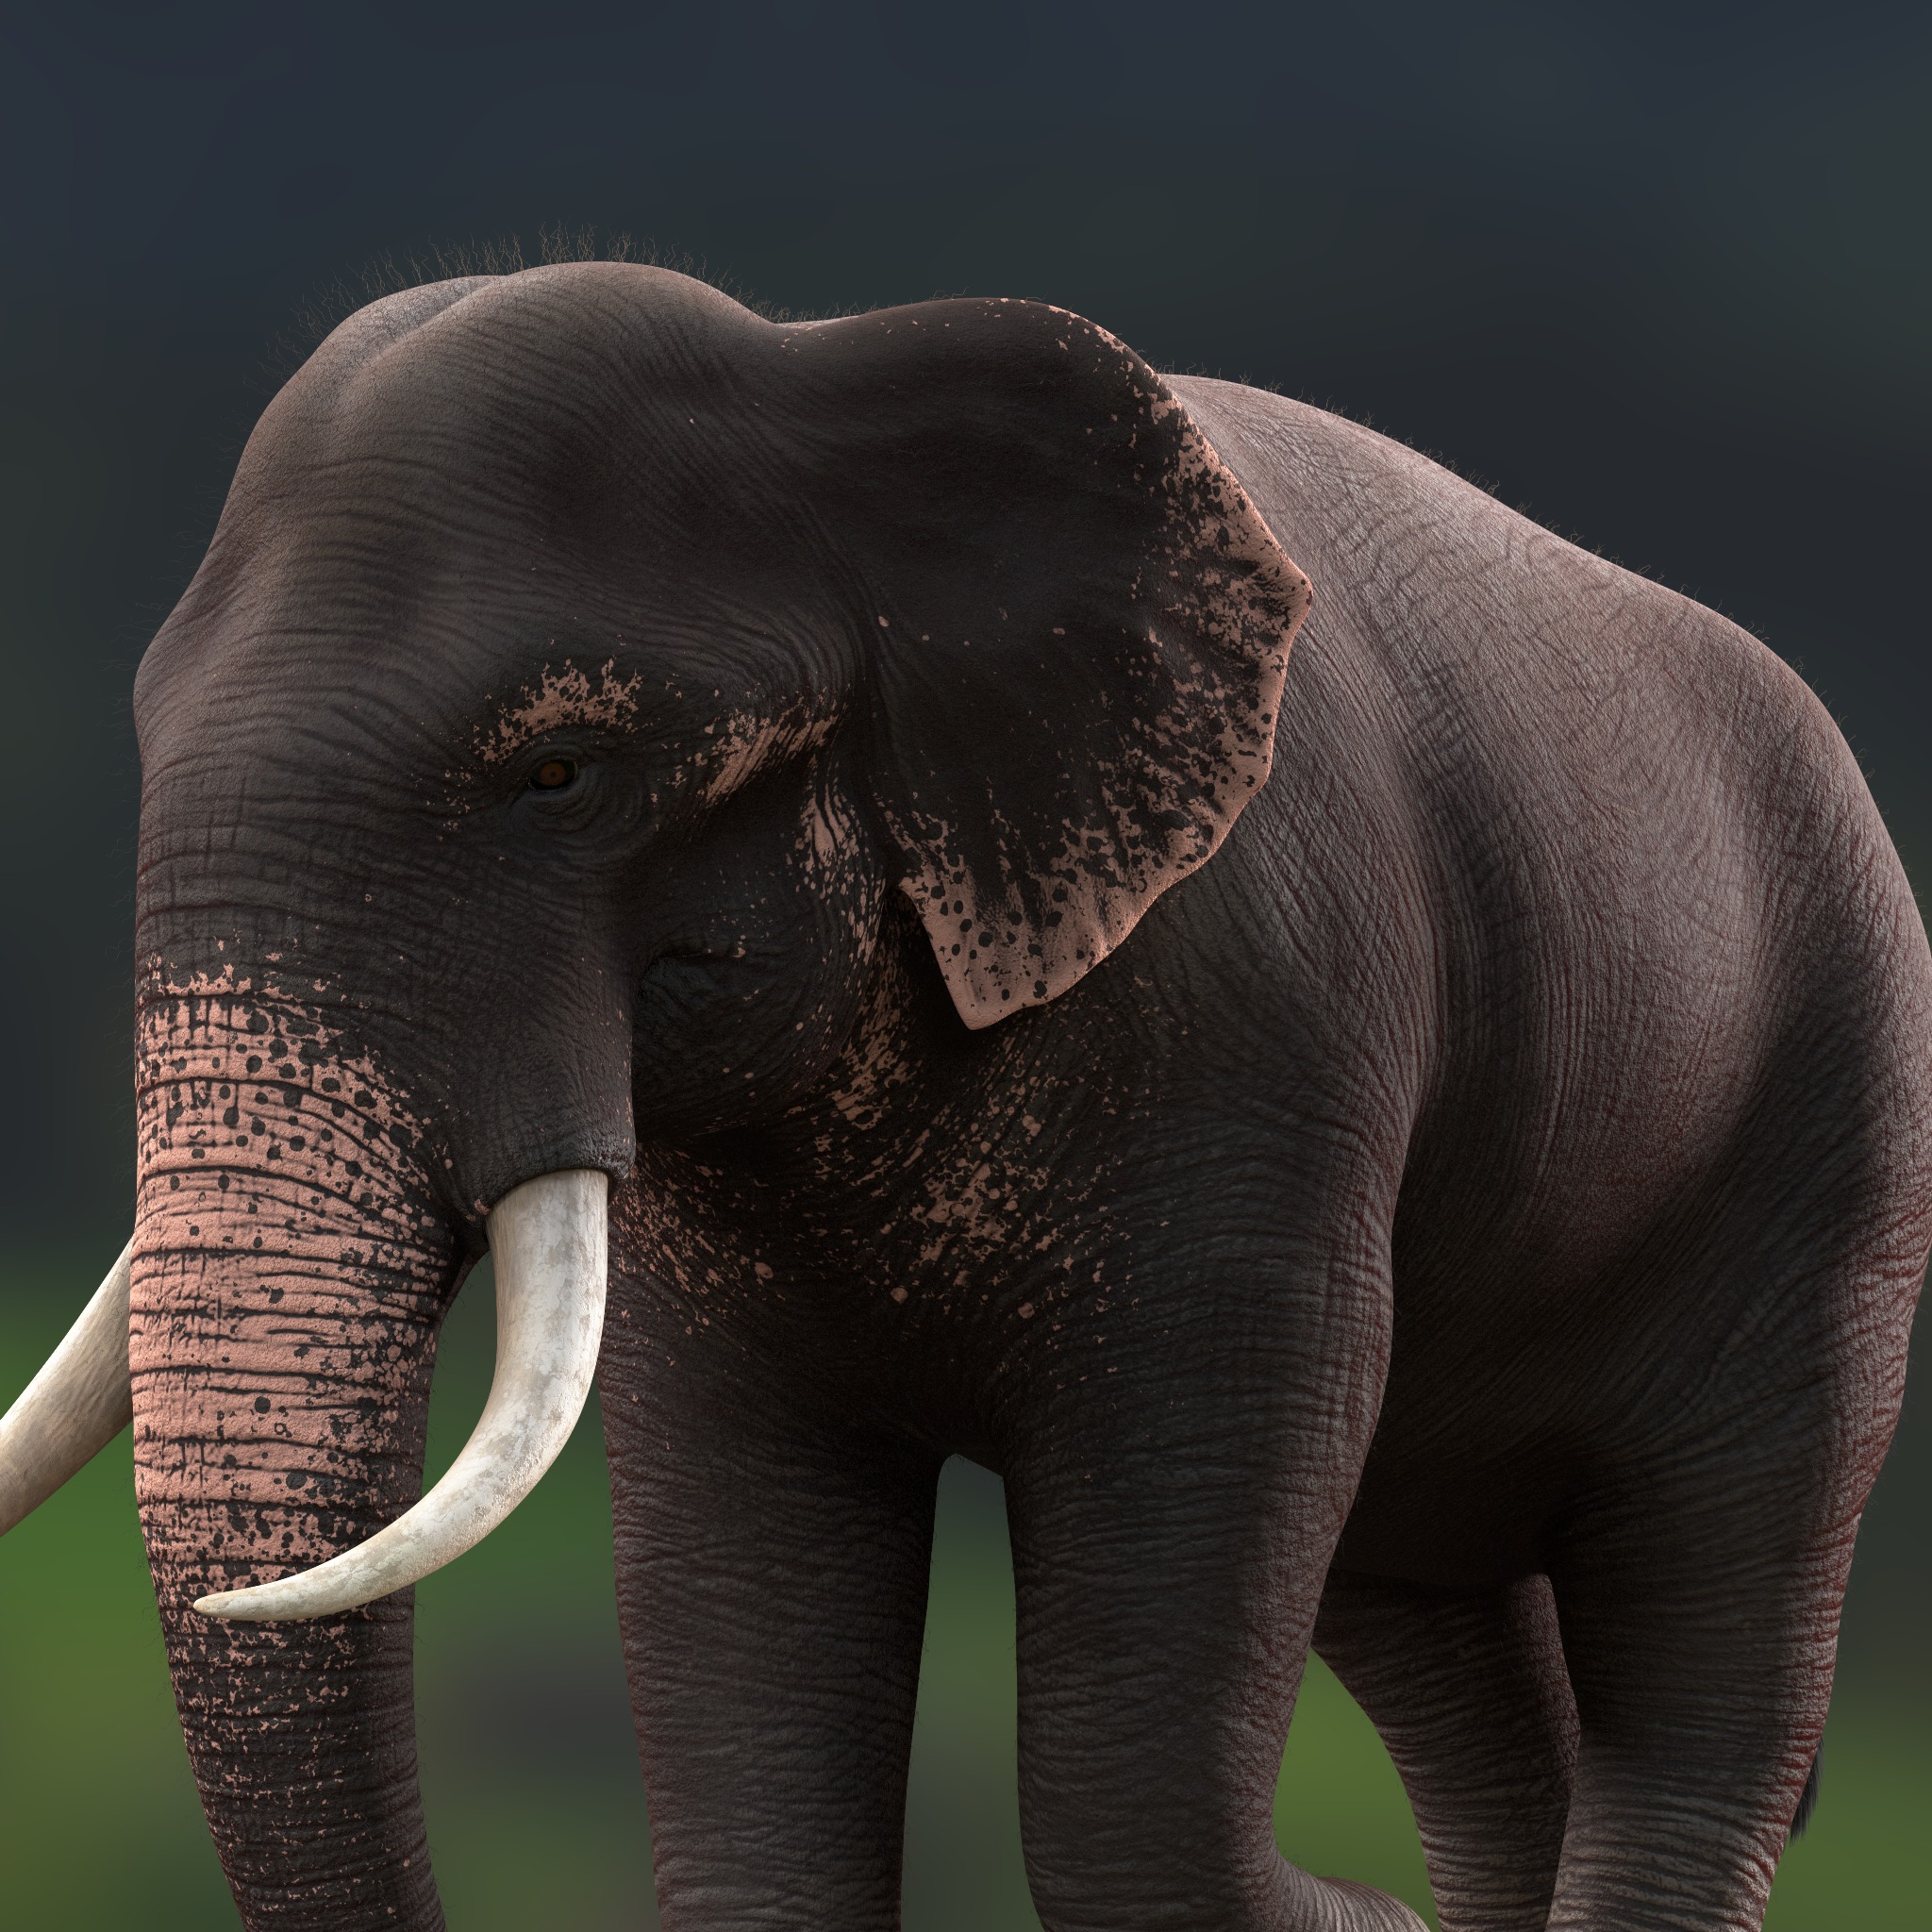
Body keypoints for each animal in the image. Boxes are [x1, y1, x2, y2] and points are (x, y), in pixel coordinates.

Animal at [1, 260, 1927, 1932]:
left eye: (559, 771)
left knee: (1706, 1650)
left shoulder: (1263, 1027)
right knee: (1450, 1642)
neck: (823, 383)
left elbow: (1125, 1785)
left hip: (1834, 1135)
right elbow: (751, 1690)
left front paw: (1357, 1919)